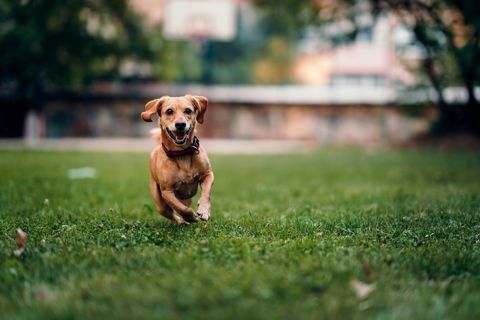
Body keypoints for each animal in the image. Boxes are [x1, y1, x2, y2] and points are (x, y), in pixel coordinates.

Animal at [140, 95, 213, 224]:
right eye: (169, 111)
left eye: (188, 110)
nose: (180, 124)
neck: (181, 153)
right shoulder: (167, 191)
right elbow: (182, 209)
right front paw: (192, 217)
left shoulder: (208, 174)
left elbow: (206, 192)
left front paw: (204, 210)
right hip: (159, 203)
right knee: (169, 212)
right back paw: (181, 221)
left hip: (186, 198)